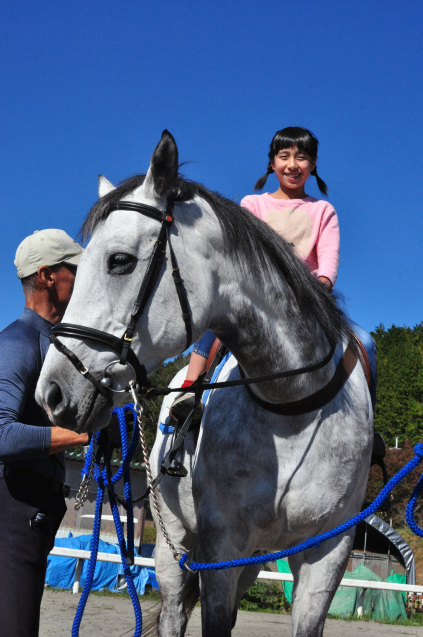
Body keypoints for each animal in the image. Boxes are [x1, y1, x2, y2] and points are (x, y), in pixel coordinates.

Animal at [37, 130, 374, 636]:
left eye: (120, 261)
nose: (51, 393)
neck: (294, 406)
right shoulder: (221, 544)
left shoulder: (329, 549)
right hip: (174, 546)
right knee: (175, 611)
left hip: (255, 557)